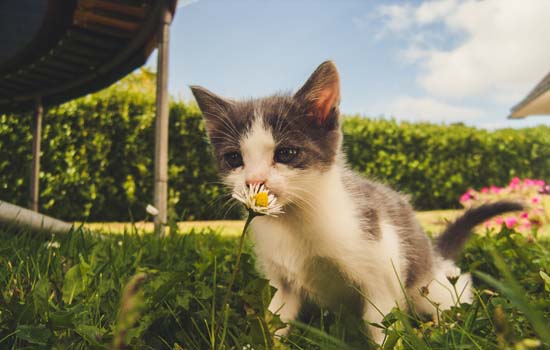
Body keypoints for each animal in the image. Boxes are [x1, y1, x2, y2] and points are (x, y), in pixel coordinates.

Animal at [192, 61, 524, 344]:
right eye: (234, 158)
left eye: (286, 153)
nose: (254, 181)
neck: (296, 220)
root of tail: (433, 254)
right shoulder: (281, 281)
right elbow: (276, 319)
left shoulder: (381, 268)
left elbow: (381, 325)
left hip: (426, 282)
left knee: (453, 289)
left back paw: (446, 325)